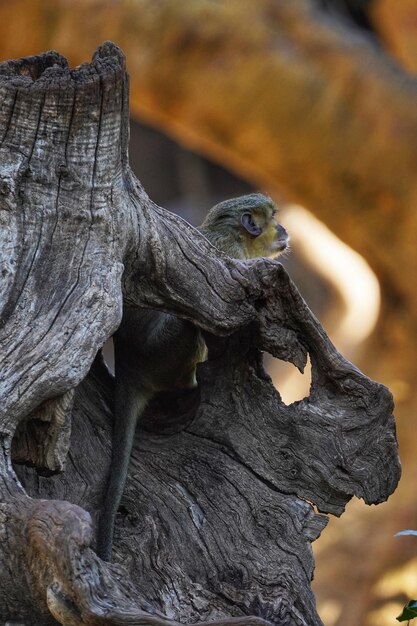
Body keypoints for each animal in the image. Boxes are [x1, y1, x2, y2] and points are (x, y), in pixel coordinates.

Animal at [96, 193, 288, 560]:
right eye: (272, 219)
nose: (284, 229)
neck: (237, 238)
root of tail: (129, 365)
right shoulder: (232, 265)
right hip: (164, 352)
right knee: (188, 322)